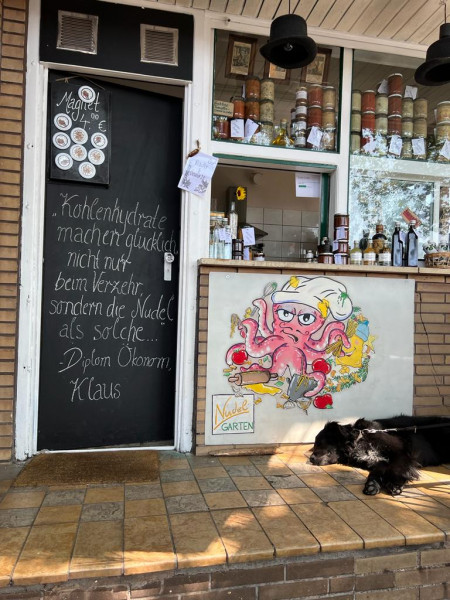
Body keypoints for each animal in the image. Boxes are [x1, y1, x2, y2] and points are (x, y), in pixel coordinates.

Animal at [310, 414, 450, 494]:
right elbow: (377, 471)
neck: (360, 439)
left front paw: (395, 484)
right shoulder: (378, 461)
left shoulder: (400, 452)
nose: (311, 458)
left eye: (319, 442)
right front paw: (372, 485)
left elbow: (397, 468)